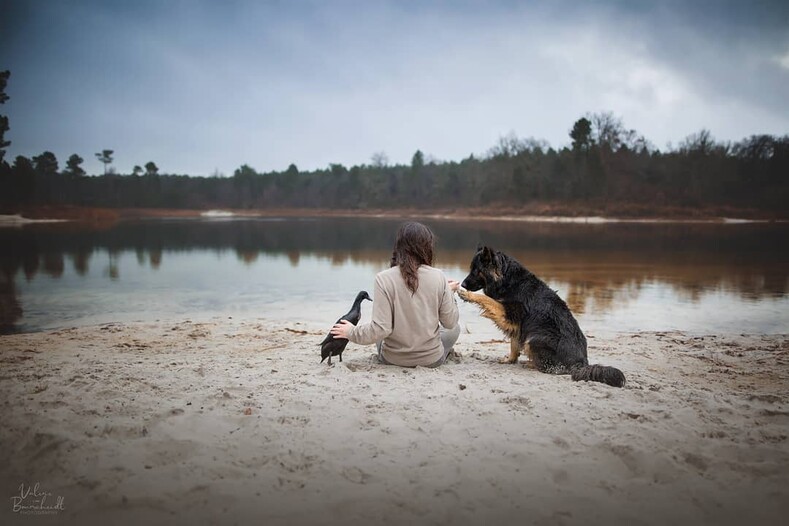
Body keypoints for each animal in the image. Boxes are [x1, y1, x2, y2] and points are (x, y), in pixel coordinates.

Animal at [458, 246, 624, 388]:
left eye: (476, 271)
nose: (463, 284)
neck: (507, 279)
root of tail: (581, 363)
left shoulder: (508, 314)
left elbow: (486, 299)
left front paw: (468, 295)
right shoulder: (519, 325)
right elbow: (514, 344)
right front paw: (510, 360)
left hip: (535, 338)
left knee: (550, 368)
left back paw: (531, 364)